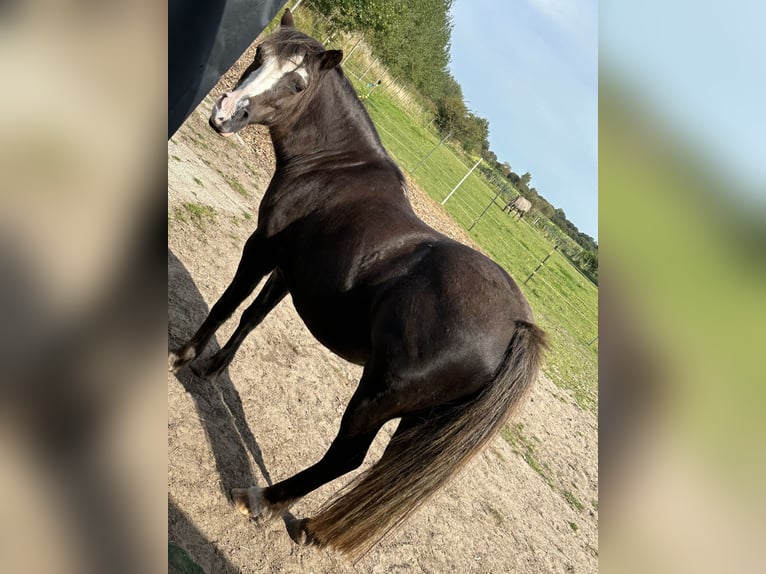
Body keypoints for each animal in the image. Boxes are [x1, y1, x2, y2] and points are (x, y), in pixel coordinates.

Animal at [171, 7, 548, 560]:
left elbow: (226, 304)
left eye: (298, 81)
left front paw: (183, 355)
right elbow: (252, 316)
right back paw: (312, 526)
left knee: (345, 458)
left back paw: (262, 499)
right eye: (259, 54)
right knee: (379, 471)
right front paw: (212, 367)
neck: (335, 167)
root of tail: (516, 324)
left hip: (376, 398)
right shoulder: (289, 270)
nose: (224, 114)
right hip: (419, 421)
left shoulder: (260, 249)